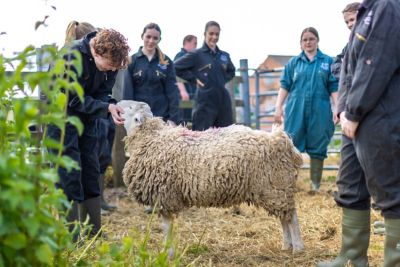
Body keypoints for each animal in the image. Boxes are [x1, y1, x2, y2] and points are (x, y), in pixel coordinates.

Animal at [117, 99, 304, 252]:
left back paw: (297, 248)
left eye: (130, 108)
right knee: (284, 218)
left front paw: (167, 253)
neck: (150, 137)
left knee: (292, 218)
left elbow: (167, 227)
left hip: (276, 185)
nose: (116, 105)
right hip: (275, 189)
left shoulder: (165, 196)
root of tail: (280, 140)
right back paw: (286, 245)